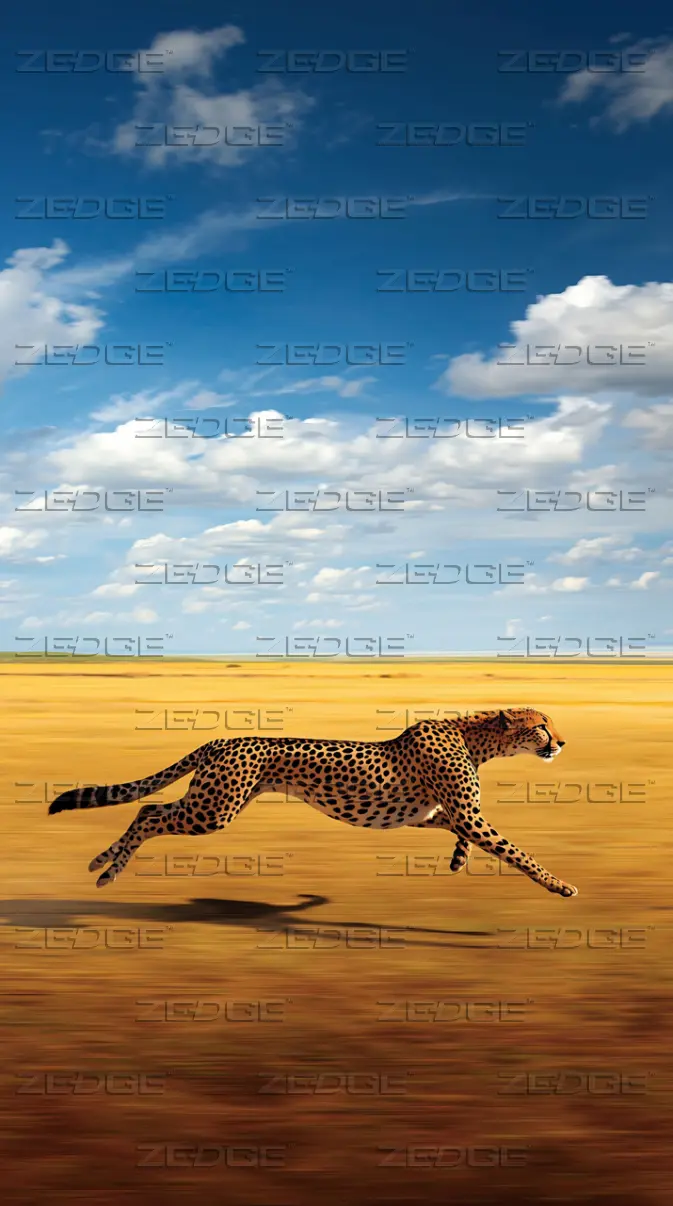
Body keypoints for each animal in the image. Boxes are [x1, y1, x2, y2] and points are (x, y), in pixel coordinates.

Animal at [48, 706, 577, 897]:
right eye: (541, 726)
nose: (562, 743)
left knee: (146, 810)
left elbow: (458, 829)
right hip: (213, 809)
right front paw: (560, 885)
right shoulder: (464, 813)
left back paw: (102, 862)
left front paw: (457, 860)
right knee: (148, 811)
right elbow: (517, 852)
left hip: (213, 802)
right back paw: (106, 870)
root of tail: (224, 738)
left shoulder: (421, 814)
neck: (476, 737)